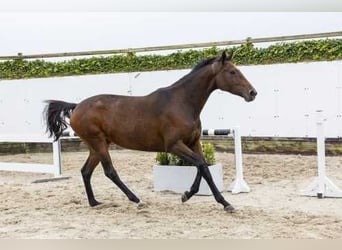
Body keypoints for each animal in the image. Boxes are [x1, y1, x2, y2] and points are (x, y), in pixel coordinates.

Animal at [44, 51, 256, 212]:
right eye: (232, 72)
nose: (253, 93)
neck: (182, 103)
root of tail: (77, 106)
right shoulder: (174, 146)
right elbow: (202, 166)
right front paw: (225, 203)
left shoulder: (193, 142)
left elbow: (203, 167)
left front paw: (187, 195)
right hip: (98, 144)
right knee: (110, 172)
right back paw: (137, 200)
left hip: (97, 146)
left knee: (86, 171)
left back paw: (94, 202)